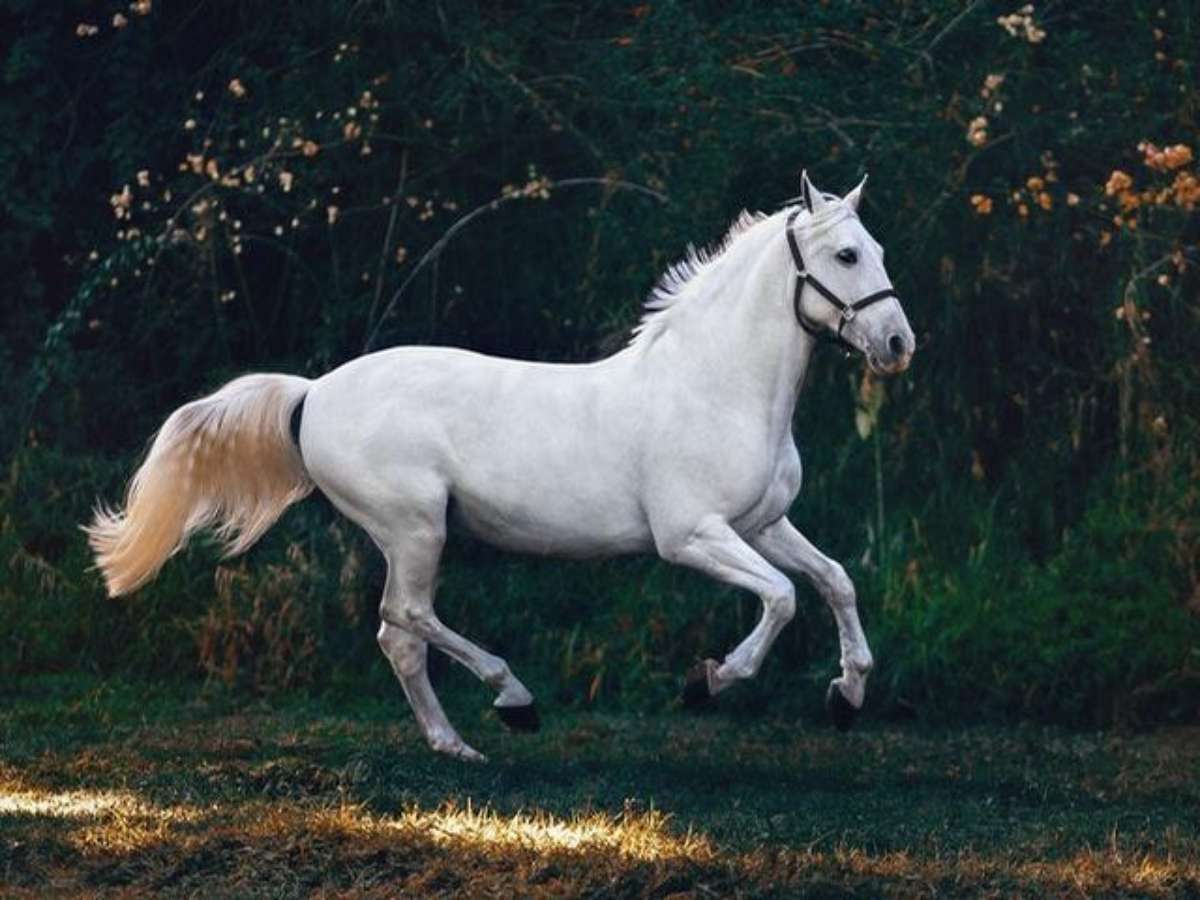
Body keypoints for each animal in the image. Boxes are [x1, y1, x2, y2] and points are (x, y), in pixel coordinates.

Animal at [87, 170, 907, 763]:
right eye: (845, 256)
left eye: (879, 249)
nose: (898, 344)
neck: (716, 386)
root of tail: (313, 392)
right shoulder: (692, 537)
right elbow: (782, 599)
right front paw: (708, 682)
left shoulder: (762, 524)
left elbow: (834, 581)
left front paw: (847, 696)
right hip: (416, 528)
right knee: (406, 618)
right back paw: (513, 701)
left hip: (412, 535)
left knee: (398, 637)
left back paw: (456, 746)